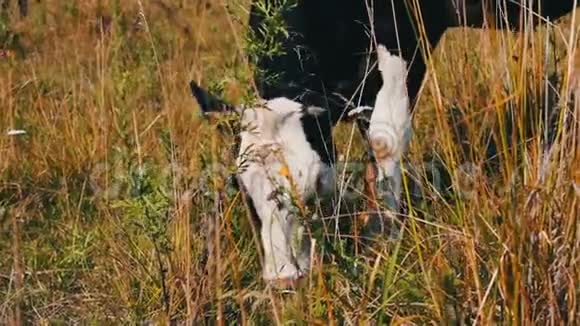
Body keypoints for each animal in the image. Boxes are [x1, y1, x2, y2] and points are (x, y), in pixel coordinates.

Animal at [191, 0, 580, 286]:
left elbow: (384, 138)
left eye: (315, 188)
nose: (284, 280)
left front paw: (384, 239)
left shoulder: (400, 40)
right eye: (241, 189)